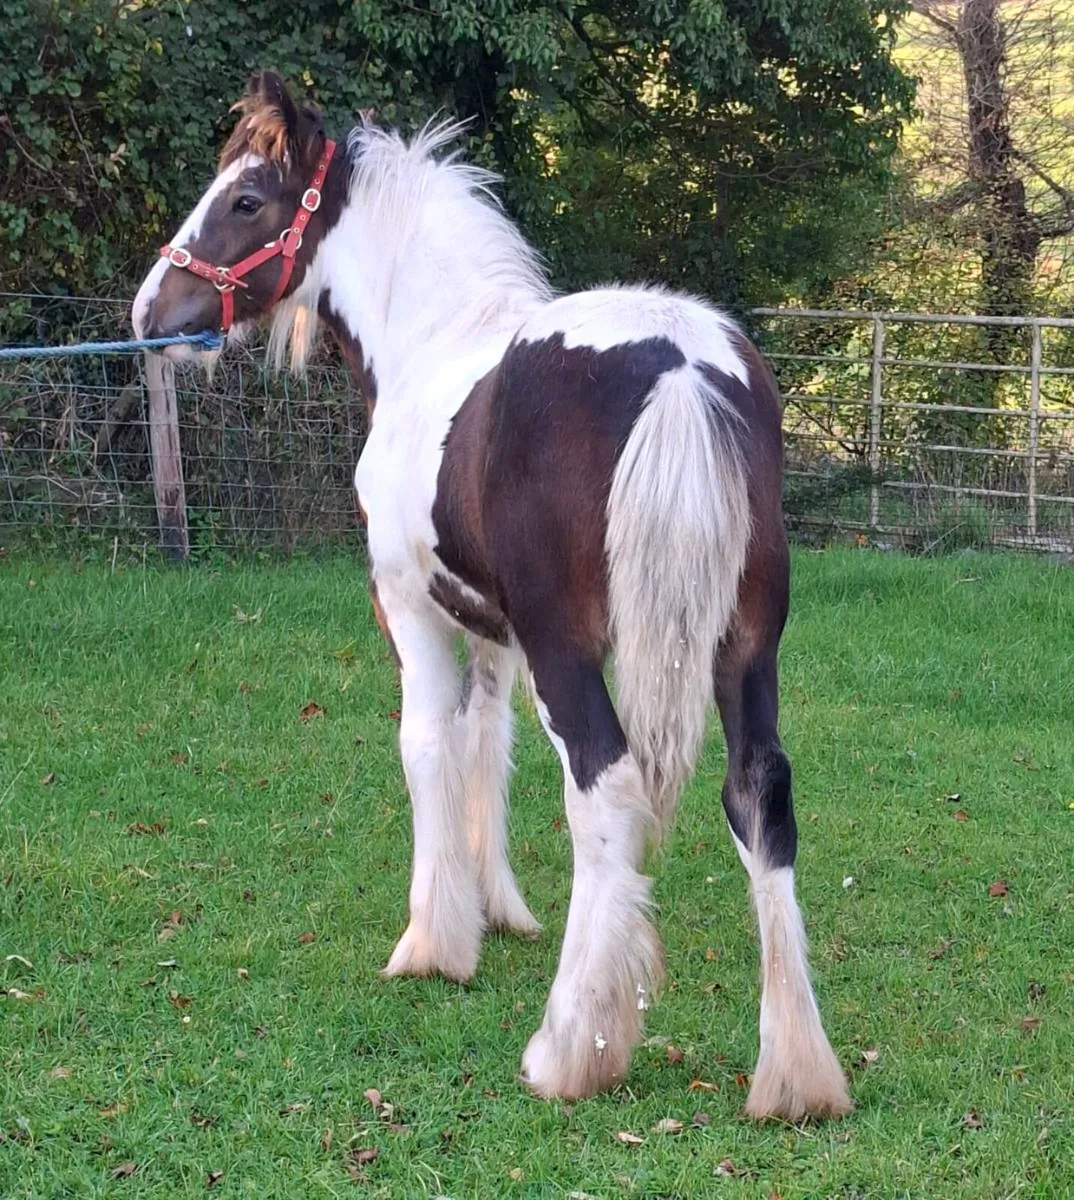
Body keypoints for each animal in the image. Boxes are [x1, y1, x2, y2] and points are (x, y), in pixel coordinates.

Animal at [132, 70, 851, 1121]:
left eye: (248, 201)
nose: (152, 313)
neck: (429, 342)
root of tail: (679, 364)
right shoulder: (494, 634)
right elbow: (488, 745)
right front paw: (497, 910)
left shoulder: (413, 611)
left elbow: (428, 746)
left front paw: (435, 945)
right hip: (747, 648)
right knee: (759, 794)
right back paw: (797, 1073)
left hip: (575, 652)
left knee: (605, 786)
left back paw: (572, 1048)